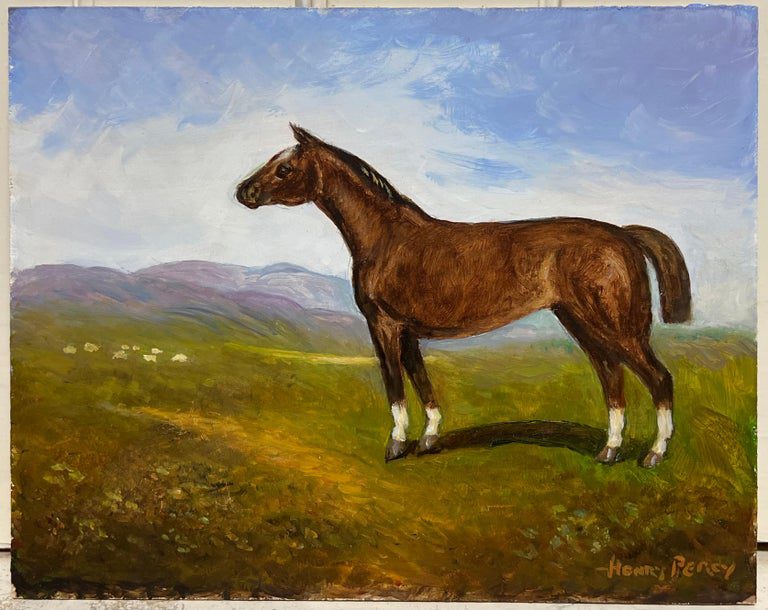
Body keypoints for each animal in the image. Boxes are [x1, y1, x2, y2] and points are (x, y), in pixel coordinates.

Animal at [235, 124, 691, 469]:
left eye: (284, 168)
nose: (242, 192)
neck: (387, 238)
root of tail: (624, 235)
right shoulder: (408, 332)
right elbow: (422, 380)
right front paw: (429, 439)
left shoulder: (384, 325)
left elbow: (394, 383)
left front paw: (396, 445)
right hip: (581, 324)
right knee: (611, 378)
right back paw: (609, 451)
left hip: (616, 327)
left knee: (658, 378)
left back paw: (653, 455)